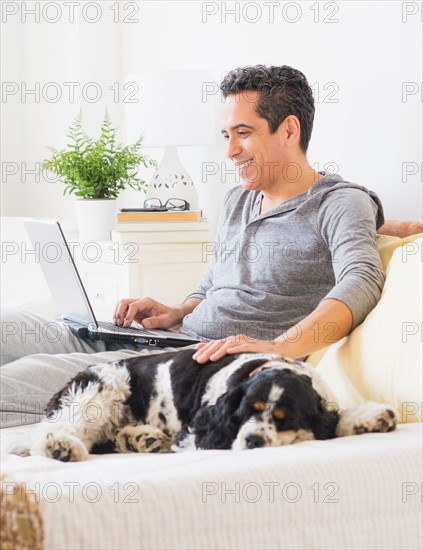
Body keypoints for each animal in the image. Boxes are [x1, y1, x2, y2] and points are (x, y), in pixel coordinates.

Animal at [19, 352, 398, 464]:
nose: (252, 441)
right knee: (53, 432)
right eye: (247, 411)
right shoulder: (195, 433)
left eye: (284, 418)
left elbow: (335, 420)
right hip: (103, 386)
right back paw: (60, 446)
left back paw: (140, 439)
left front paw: (372, 418)